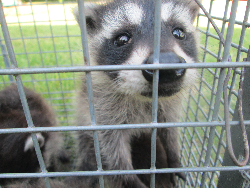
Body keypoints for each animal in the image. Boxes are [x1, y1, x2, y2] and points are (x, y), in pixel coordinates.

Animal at [73, 0, 199, 187]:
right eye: (122, 39)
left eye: (178, 32)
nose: (167, 65)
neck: (144, 100)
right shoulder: (102, 108)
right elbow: (112, 149)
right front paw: (129, 178)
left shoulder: (169, 106)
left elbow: (169, 129)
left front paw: (174, 156)